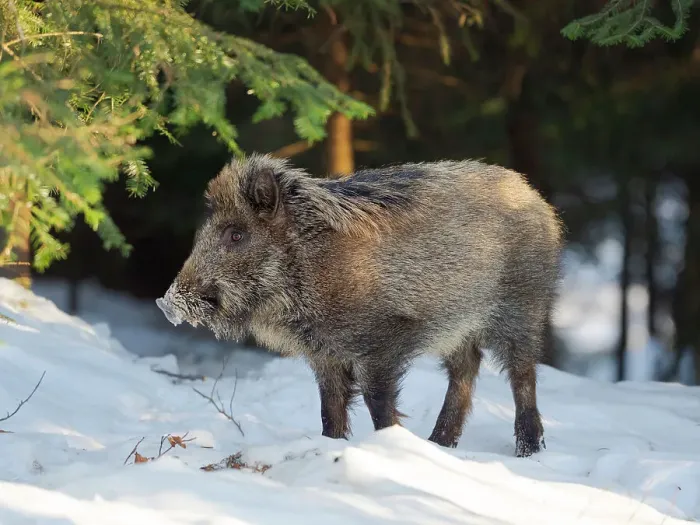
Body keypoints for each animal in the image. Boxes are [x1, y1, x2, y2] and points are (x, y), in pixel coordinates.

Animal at [157, 153, 564, 457]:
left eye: (236, 234)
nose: (166, 302)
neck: (307, 269)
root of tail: (536, 198)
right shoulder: (325, 355)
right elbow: (330, 409)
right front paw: (332, 446)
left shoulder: (381, 343)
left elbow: (378, 404)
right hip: (458, 329)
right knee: (466, 368)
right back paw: (439, 443)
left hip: (522, 308)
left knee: (522, 374)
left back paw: (527, 451)